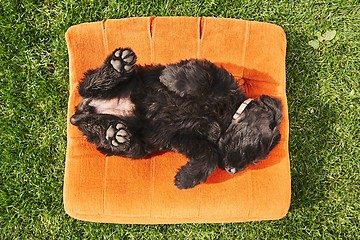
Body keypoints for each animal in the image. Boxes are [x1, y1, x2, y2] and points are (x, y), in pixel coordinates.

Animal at [70, 47, 282, 189]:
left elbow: (209, 156)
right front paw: (169, 78)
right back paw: (118, 65)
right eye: (255, 147)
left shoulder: (184, 137)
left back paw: (114, 134)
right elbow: (202, 79)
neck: (225, 116)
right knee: (87, 86)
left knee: (113, 135)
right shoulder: (214, 73)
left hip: (136, 146)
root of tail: (83, 110)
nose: (232, 171)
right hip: (129, 79)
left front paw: (186, 178)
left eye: (255, 162)